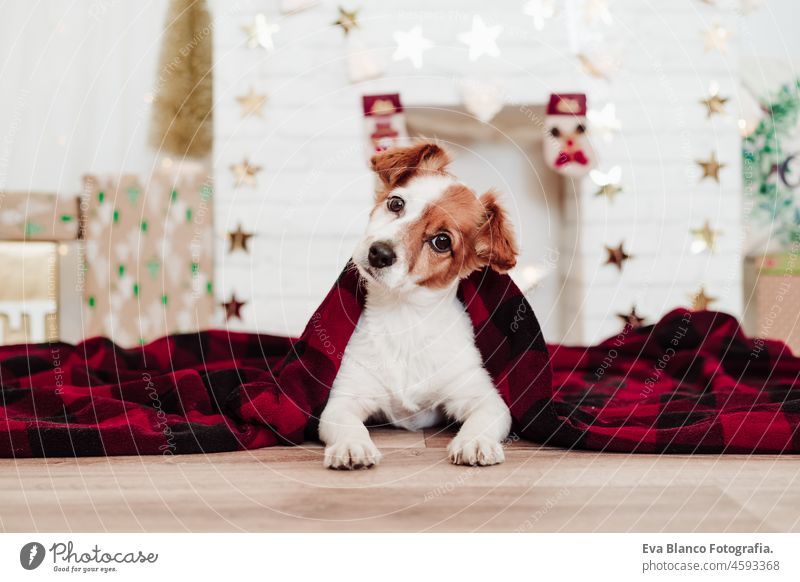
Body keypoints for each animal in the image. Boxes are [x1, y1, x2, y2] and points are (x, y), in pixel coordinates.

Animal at [320, 144, 520, 472]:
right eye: (396, 203)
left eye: (442, 241)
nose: (379, 253)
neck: (404, 318)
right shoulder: (345, 397)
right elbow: (347, 423)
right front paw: (352, 445)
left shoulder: (483, 397)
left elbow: (484, 419)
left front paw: (475, 441)